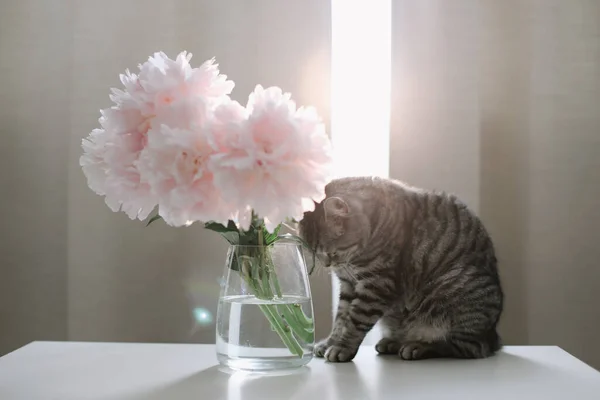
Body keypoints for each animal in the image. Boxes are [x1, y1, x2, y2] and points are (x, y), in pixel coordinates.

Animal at [298, 177, 502, 362]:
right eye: (313, 254)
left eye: (331, 253)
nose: (327, 265)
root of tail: (493, 336)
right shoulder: (349, 284)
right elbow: (341, 317)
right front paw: (330, 342)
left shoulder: (377, 283)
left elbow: (355, 320)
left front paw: (342, 347)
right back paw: (393, 342)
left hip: (455, 289)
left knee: (465, 347)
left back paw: (418, 346)